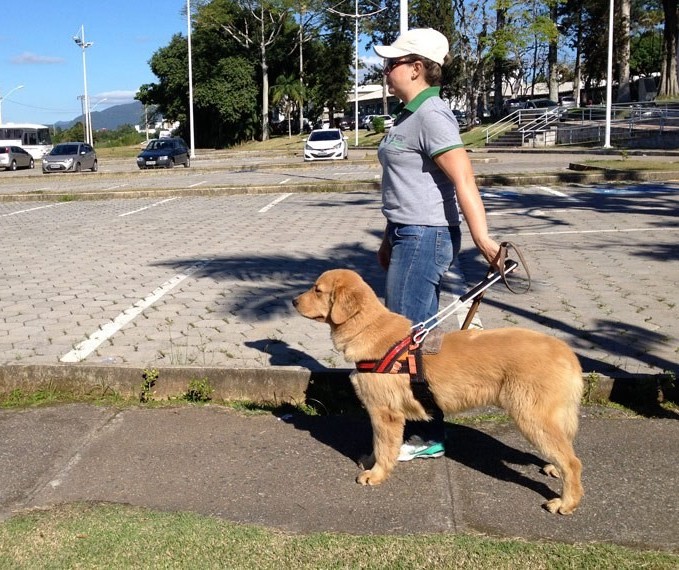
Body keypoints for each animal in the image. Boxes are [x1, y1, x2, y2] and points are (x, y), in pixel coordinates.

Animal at [294, 268, 588, 512]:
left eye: (317, 290)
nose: (294, 301)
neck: (368, 328)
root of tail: (567, 352)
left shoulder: (385, 413)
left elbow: (383, 446)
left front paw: (376, 474)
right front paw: (370, 461)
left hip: (531, 416)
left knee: (573, 462)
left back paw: (566, 502)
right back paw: (553, 468)